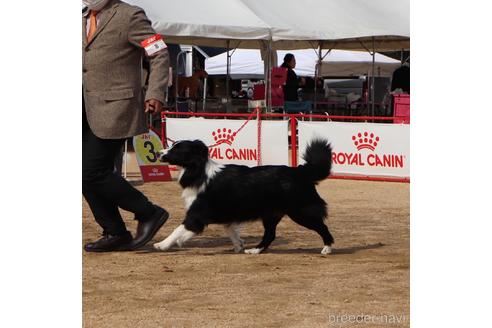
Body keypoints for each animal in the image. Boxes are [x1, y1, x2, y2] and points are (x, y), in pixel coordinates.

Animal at [155, 138, 334, 254]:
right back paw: (255, 250)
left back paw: (327, 248)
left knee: (322, 227)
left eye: (176, 149)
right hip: (271, 214)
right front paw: (239, 246)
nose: (158, 153)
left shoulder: (197, 214)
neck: (198, 171)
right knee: (270, 234)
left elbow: (179, 229)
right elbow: (231, 230)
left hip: (300, 212)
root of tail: (301, 171)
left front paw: (162, 244)